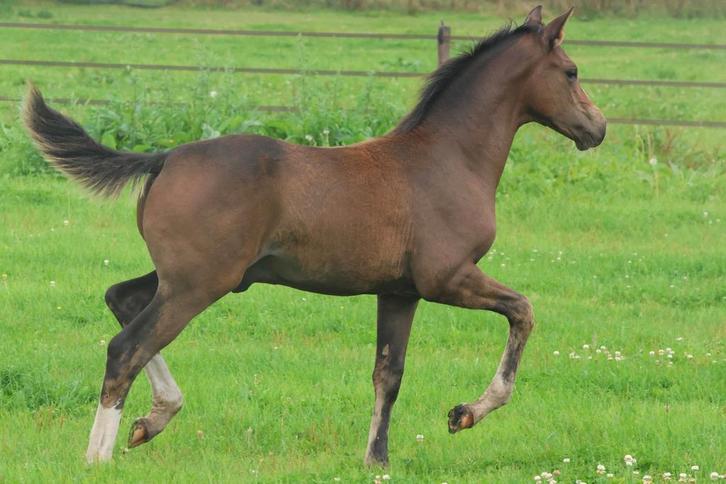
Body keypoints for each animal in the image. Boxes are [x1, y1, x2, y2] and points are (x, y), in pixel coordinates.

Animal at [23, 5, 605, 466]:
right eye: (571, 70)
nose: (597, 128)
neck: (447, 158)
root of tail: (164, 158)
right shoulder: (447, 278)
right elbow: (523, 311)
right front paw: (465, 414)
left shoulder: (399, 292)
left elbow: (388, 375)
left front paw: (376, 460)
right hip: (198, 284)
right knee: (127, 347)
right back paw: (99, 456)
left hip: (192, 278)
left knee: (120, 299)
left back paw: (154, 419)